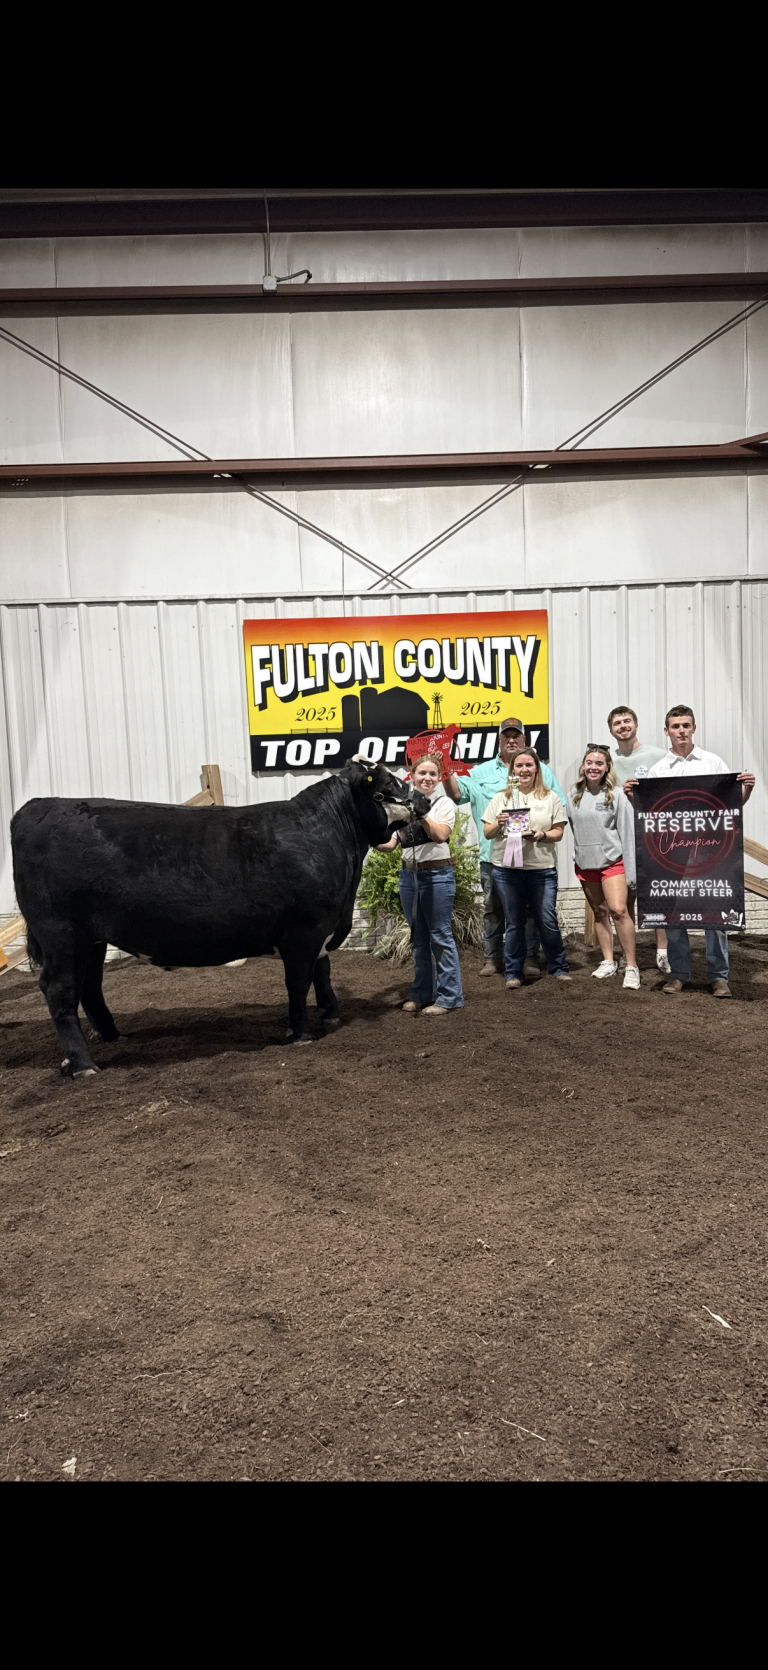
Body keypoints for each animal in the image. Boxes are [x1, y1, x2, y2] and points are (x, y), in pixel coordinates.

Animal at [11, 759, 430, 1077]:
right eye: (391, 782)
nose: (425, 799)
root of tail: (36, 807)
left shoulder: (322, 931)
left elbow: (322, 972)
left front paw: (330, 1015)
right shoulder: (303, 931)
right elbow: (298, 982)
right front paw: (301, 1033)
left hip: (91, 938)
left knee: (90, 985)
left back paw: (113, 1037)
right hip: (61, 933)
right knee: (59, 989)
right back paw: (83, 1064)